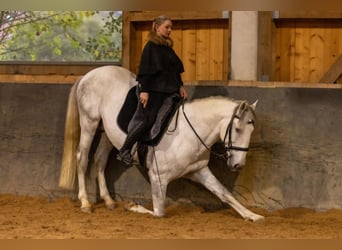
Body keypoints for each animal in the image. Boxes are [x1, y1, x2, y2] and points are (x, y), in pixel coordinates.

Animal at [58, 65, 264, 223]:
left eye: (251, 130)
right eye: (237, 129)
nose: (238, 165)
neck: (190, 133)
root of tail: (89, 74)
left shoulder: (199, 170)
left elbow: (224, 193)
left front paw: (253, 215)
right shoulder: (158, 177)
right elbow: (159, 212)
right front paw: (132, 206)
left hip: (106, 132)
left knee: (100, 159)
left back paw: (108, 201)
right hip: (89, 122)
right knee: (82, 158)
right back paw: (85, 202)